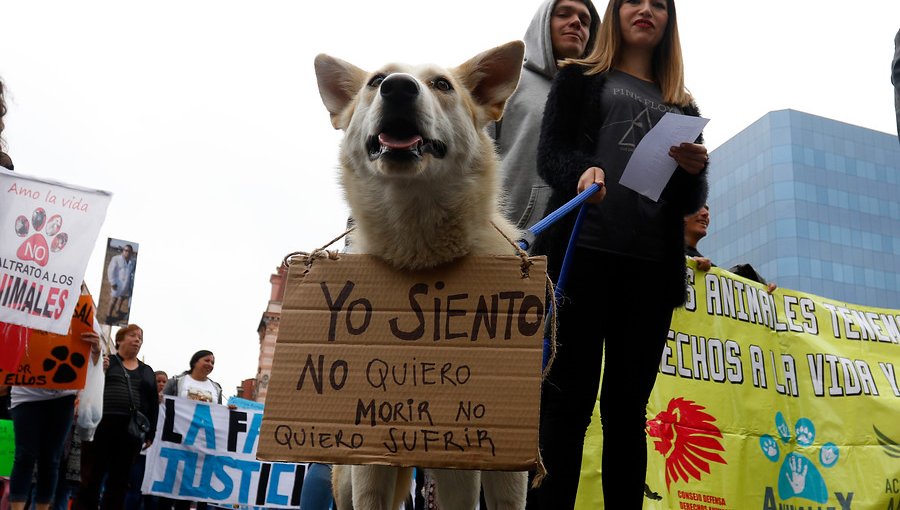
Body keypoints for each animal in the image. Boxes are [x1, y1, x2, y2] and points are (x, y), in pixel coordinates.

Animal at [314, 40, 528, 510]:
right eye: (377, 80)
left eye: (442, 85)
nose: (397, 88)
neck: (419, 257)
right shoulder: (370, 453)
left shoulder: (497, 451)